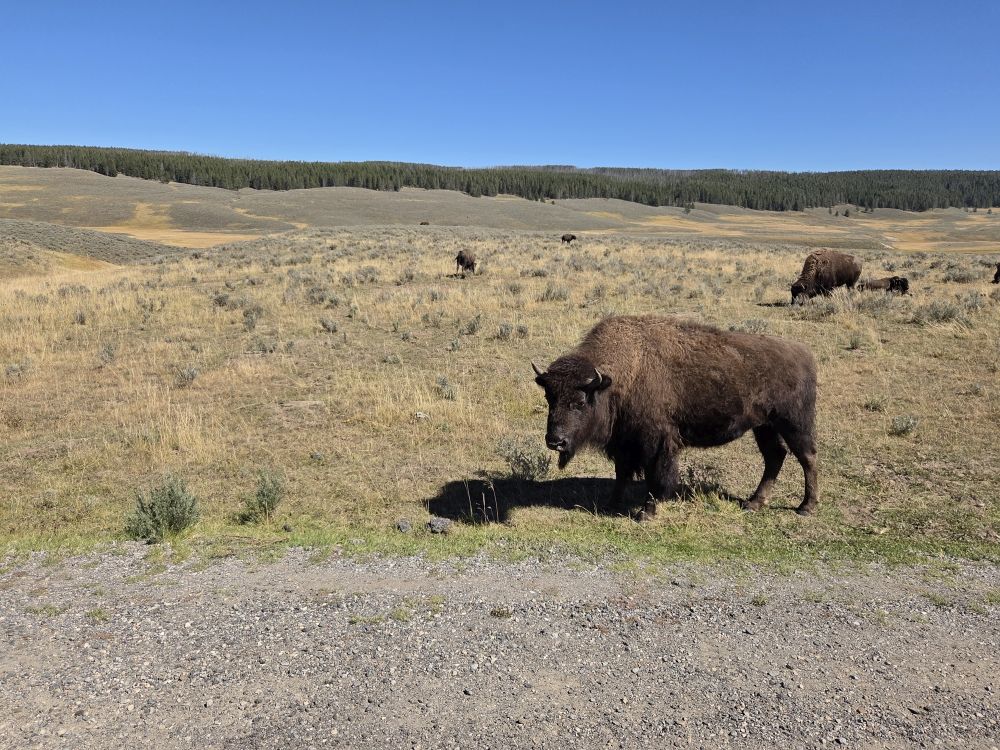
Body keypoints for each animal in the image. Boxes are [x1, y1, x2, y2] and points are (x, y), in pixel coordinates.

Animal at [532, 316, 819, 518]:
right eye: (549, 398)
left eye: (580, 402)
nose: (555, 441)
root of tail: (804, 354)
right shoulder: (625, 443)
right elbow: (622, 474)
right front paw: (610, 504)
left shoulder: (657, 443)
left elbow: (656, 477)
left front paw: (645, 513)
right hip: (764, 426)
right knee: (775, 456)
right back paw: (754, 503)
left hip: (794, 424)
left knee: (807, 457)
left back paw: (806, 507)